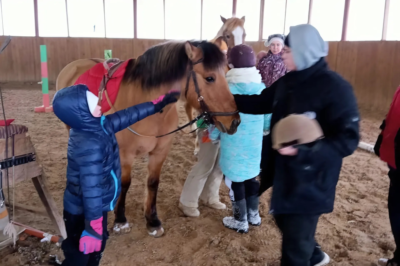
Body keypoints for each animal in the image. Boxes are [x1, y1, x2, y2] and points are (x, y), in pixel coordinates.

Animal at [56, 40, 241, 237]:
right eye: (210, 78)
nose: (234, 121)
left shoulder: (160, 152)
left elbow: (152, 183)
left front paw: (152, 221)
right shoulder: (125, 154)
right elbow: (125, 183)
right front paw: (120, 220)